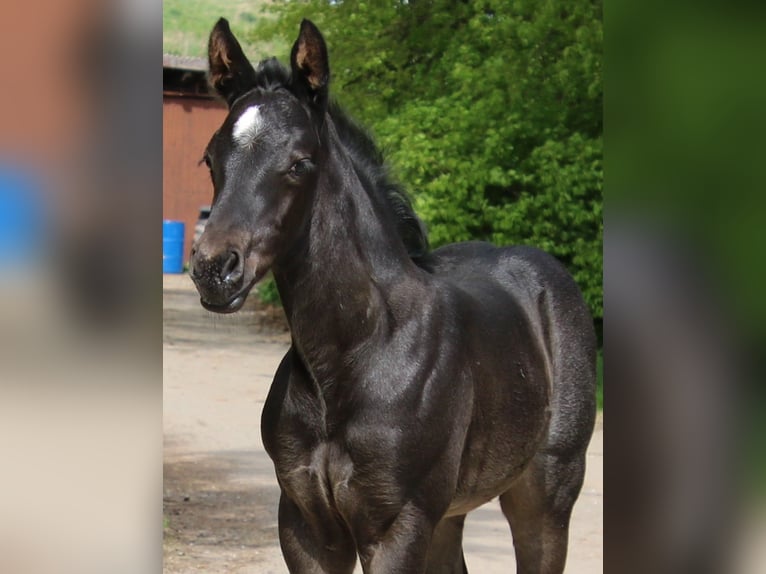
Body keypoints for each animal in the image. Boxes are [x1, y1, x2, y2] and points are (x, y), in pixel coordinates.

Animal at [192, 18, 600, 574]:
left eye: (300, 163)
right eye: (210, 158)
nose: (214, 269)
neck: (355, 353)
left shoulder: (396, 525)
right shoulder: (304, 525)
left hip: (545, 494)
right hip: (448, 513)